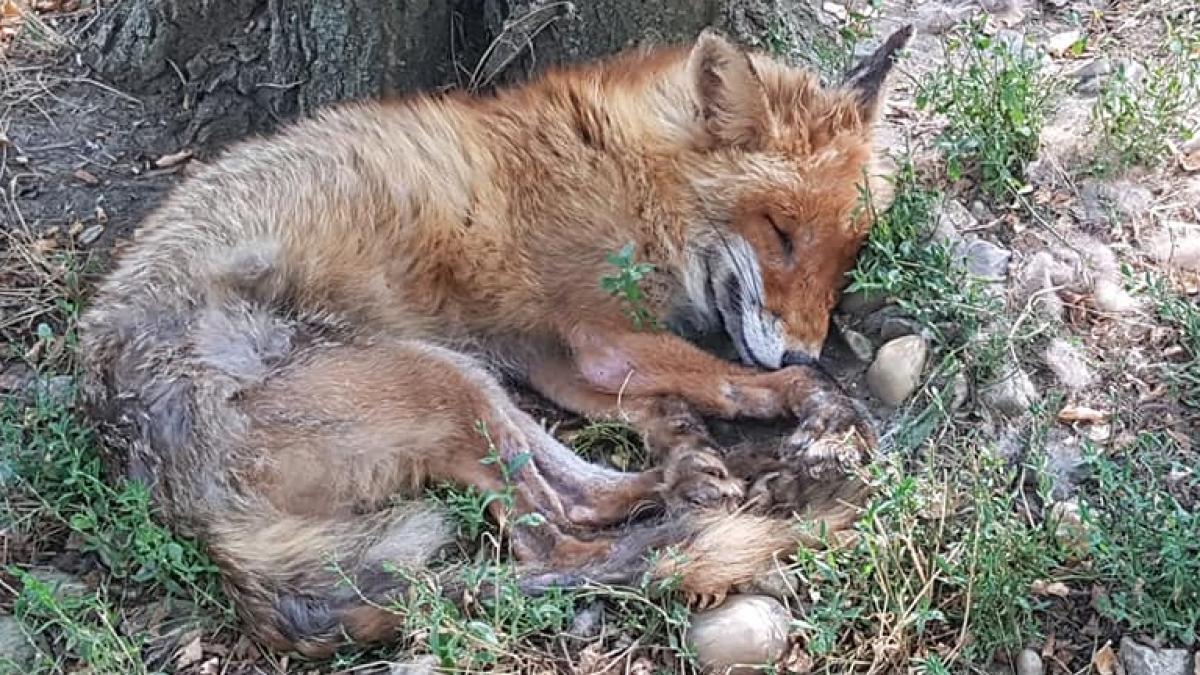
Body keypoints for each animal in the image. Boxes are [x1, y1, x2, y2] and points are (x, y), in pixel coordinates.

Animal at [77, 24, 907, 653]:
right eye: (779, 231)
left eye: (850, 252)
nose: (803, 345)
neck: (633, 172)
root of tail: (178, 504)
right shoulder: (597, 335)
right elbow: (738, 379)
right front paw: (820, 405)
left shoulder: (551, 356)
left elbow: (676, 394)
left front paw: (702, 430)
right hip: (432, 378)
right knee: (558, 544)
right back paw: (694, 523)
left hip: (462, 377)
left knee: (575, 493)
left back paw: (703, 477)